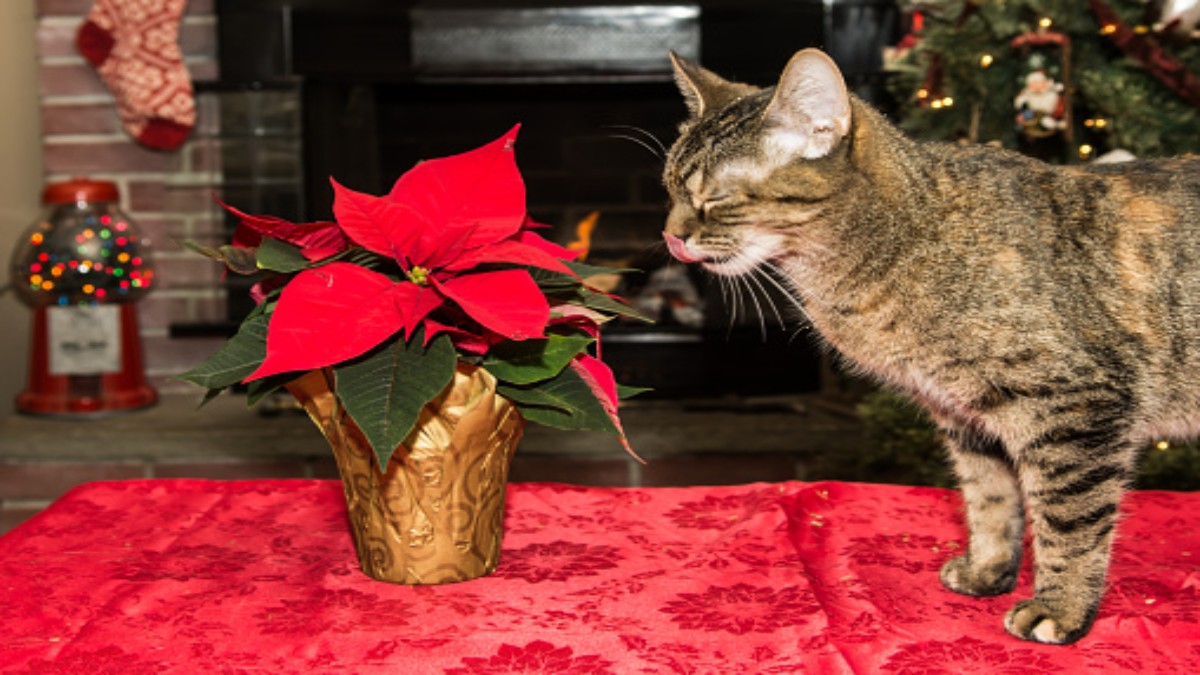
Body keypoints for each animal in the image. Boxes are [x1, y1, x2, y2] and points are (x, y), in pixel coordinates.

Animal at [662, 48, 1200, 638]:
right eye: (668, 188)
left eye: (714, 198)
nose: (669, 236)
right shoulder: (968, 417)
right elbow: (990, 500)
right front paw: (989, 571)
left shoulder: (1074, 409)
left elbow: (1068, 519)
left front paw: (1059, 608)